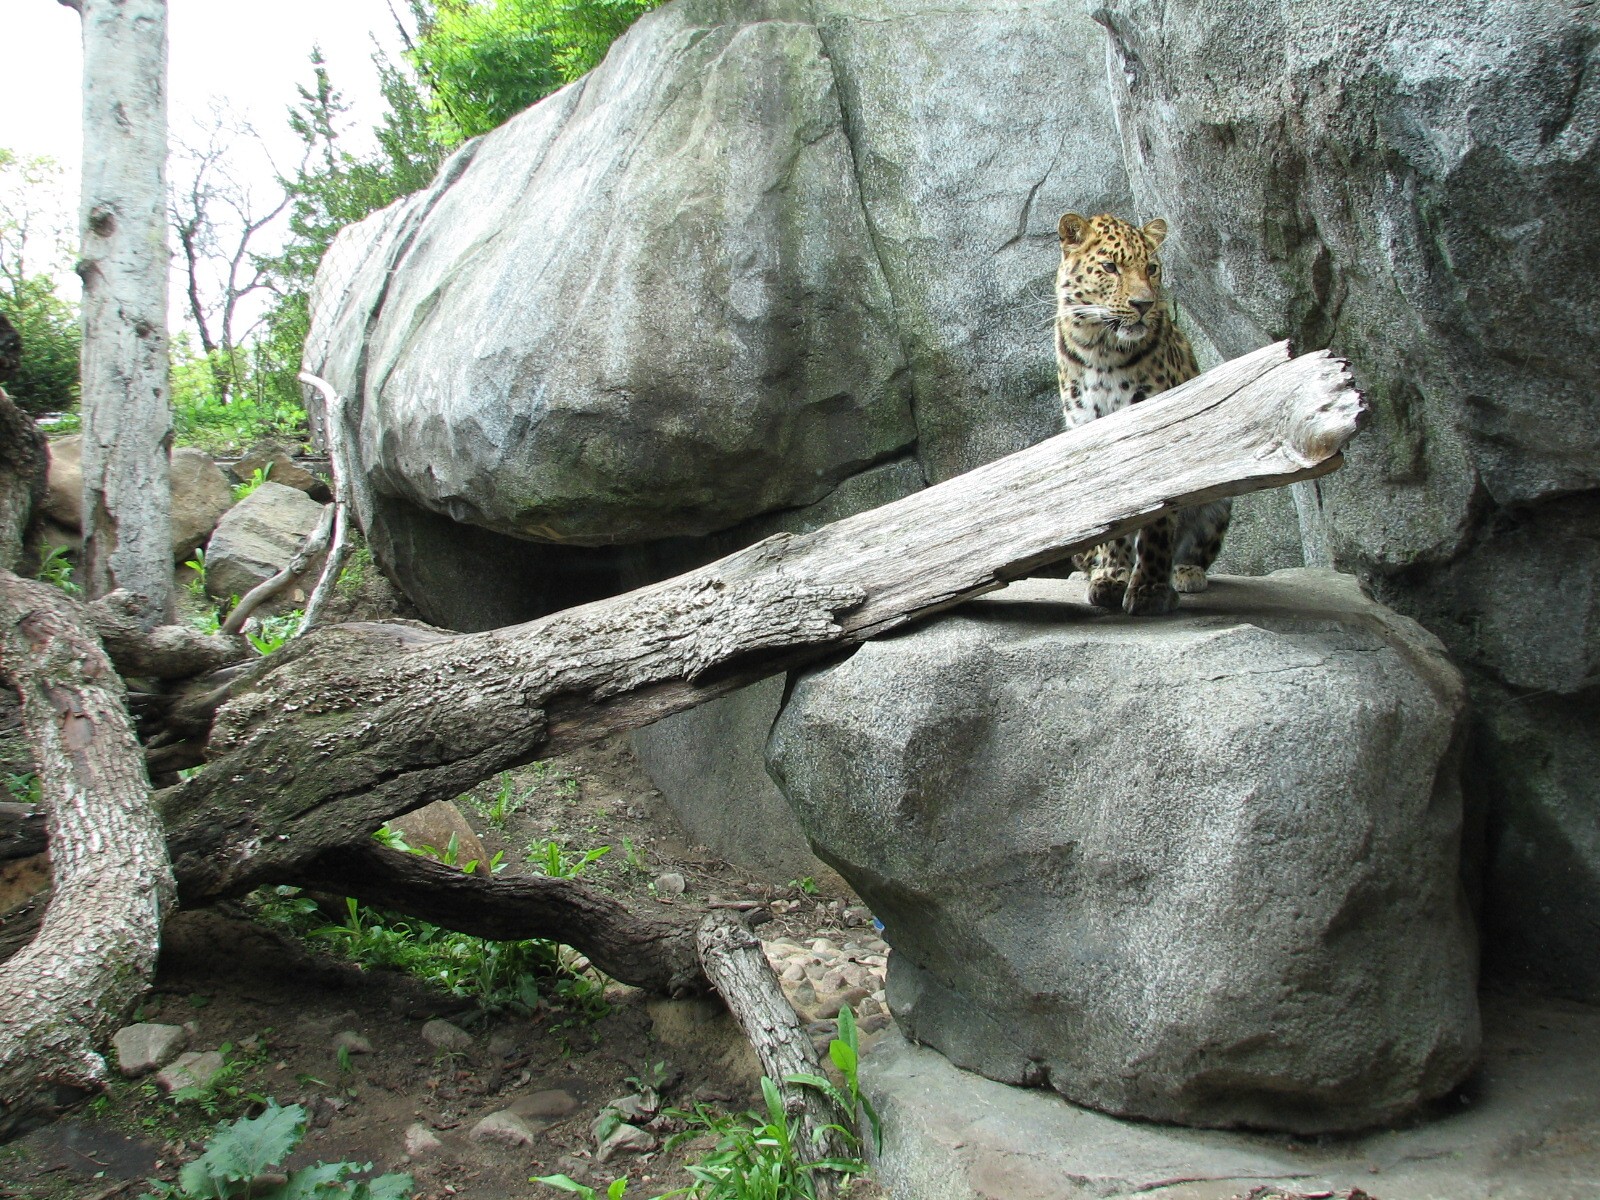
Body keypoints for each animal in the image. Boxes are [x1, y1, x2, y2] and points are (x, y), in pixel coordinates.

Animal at [1053, 211, 1230, 616]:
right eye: (1110, 267)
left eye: (1151, 268)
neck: (1101, 349)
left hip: (1219, 502)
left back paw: (1186, 573)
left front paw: (1149, 589)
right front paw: (1111, 578)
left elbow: (1158, 520)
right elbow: (1113, 519)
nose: (1143, 304)